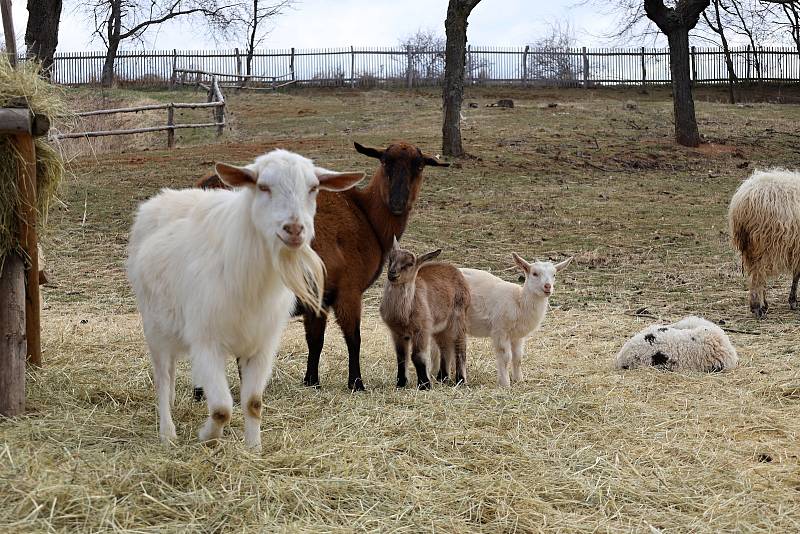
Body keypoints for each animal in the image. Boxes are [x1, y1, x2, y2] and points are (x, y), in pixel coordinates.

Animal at [191, 141, 446, 394]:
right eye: (385, 162)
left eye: (419, 166)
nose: (397, 203)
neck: (366, 217)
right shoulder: (348, 290)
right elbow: (353, 338)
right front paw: (356, 383)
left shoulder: (319, 296)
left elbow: (315, 339)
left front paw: (311, 380)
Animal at [380, 241, 472, 392]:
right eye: (391, 259)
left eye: (410, 263)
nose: (392, 274)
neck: (404, 314)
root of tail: (456, 271)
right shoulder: (397, 332)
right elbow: (401, 356)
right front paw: (401, 383)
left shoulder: (421, 329)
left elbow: (418, 356)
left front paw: (424, 385)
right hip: (439, 327)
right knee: (445, 346)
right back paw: (443, 378)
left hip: (459, 316)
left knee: (460, 346)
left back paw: (460, 380)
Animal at [460, 253, 572, 388]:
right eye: (534, 273)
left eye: (554, 274)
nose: (547, 286)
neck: (519, 302)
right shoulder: (500, 330)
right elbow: (505, 357)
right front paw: (505, 383)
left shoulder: (517, 336)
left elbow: (518, 357)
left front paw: (519, 380)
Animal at [728, 169, 800, 318]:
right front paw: (793, 301)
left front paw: (793, 300)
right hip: (763, 243)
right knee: (758, 274)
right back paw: (757, 307)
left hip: (751, 247)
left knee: (758, 275)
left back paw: (763, 304)